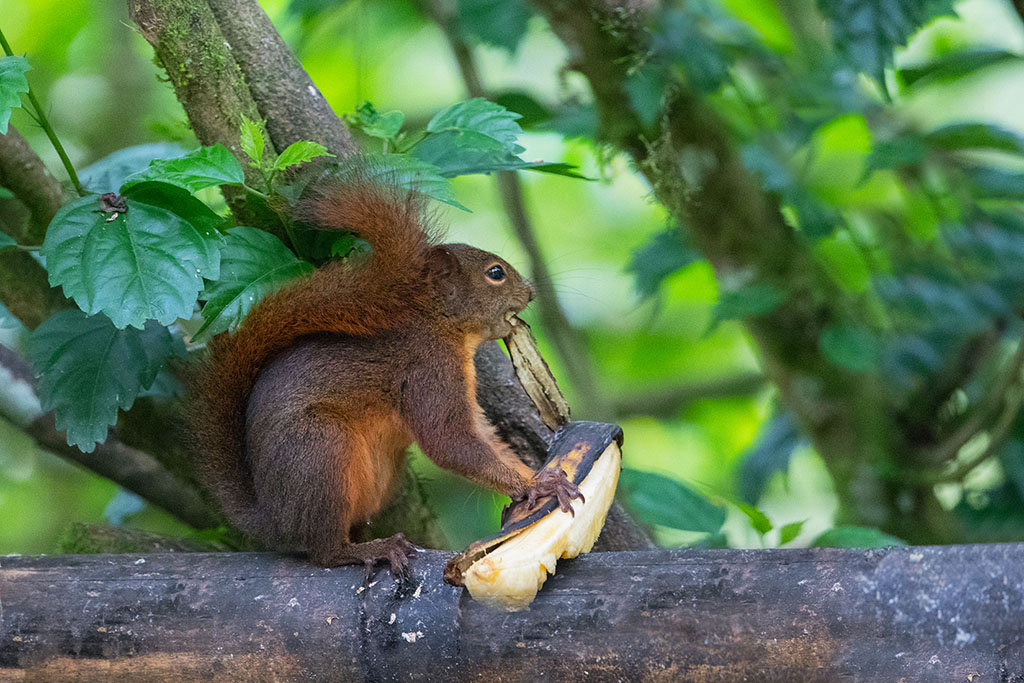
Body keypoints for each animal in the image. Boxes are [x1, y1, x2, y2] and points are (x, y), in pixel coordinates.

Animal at [187, 174, 581, 573]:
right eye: (495, 273)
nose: (530, 293)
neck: (439, 324)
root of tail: (271, 519)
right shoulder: (428, 370)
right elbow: (449, 441)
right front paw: (534, 487)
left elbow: (485, 437)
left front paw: (541, 476)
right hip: (319, 449)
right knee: (324, 552)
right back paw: (369, 549)